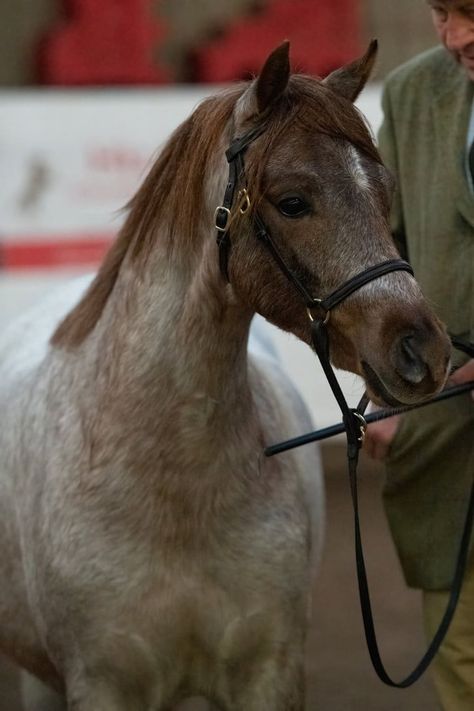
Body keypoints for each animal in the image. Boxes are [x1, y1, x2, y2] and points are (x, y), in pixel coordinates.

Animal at [0, 43, 448, 711]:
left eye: (385, 192)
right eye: (292, 201)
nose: (426, 351)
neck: (176, 491)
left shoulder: (268, 673)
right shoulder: (100, 683)